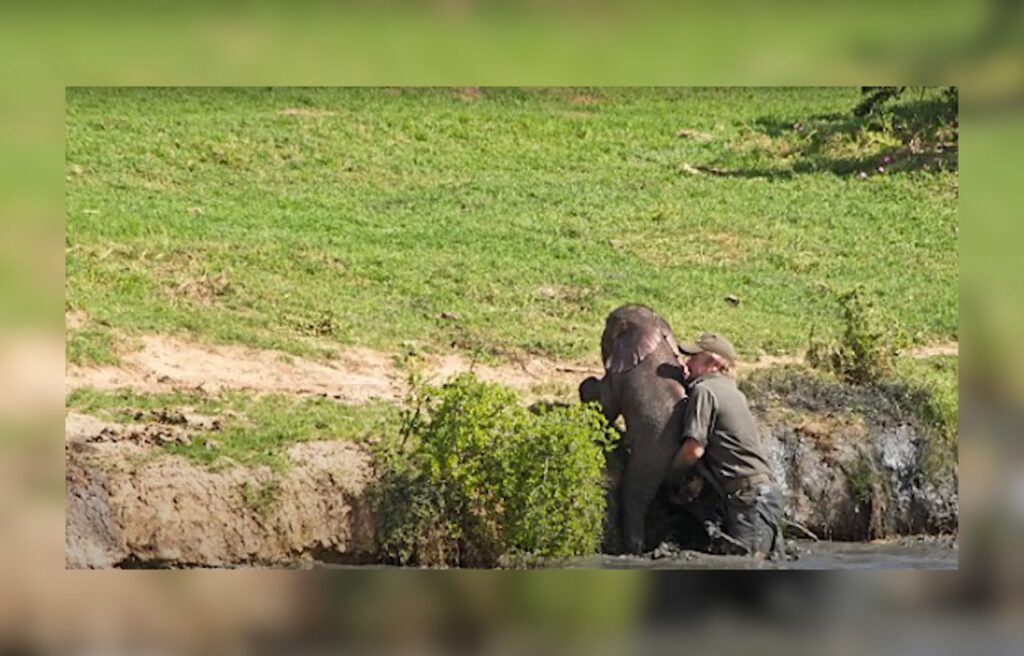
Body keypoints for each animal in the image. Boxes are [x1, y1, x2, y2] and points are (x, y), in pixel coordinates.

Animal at [579, 304, 689, 554]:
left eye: (606, 324)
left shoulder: (621, 376)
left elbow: (606, 406)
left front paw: (586, 386)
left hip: (653, 451)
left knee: (634, 490)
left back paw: (633, 549)